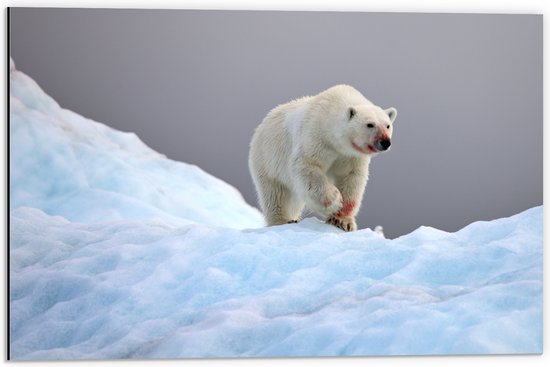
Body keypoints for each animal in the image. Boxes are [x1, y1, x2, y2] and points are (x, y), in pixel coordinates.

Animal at [249, 85, 396, 231]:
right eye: (370, 124)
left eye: (388, 125)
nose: (385, 142)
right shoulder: (316, 137)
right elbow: (307, 165)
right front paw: (335, 201)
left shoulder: (351, 156)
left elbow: (351, 178)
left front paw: (342, 221)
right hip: (268, 160)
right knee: (275, 195)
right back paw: (282, 220)